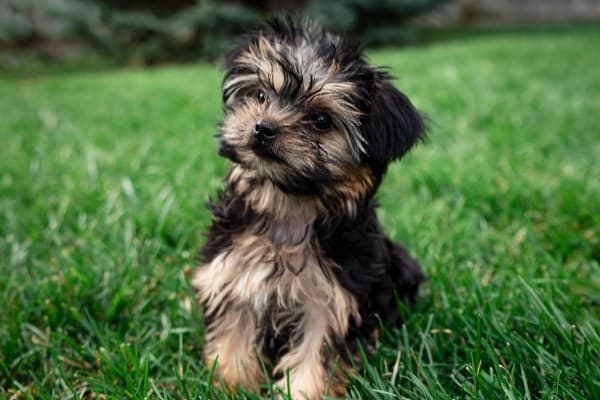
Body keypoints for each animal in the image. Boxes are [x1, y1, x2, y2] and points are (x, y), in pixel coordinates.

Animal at [192, 16, 426, 400]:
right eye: (260, 96)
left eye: (320, 120)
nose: (263, 128)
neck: (289, 205)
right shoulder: (233, 276)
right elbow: (233, 337)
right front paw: (232, 385)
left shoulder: (333, 303)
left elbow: (316, 356)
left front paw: (301, 391)